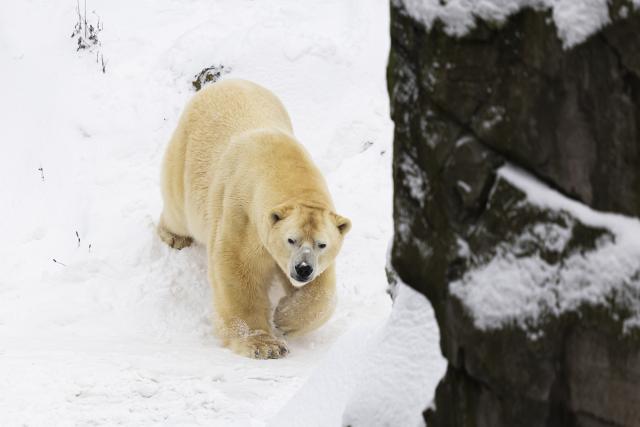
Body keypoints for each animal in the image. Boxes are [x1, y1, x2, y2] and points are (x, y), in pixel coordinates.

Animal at [158, 79, 351, 359]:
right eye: (290, 239)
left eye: (322, 244)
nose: (303, 269)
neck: (280, 165)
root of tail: (223, 83)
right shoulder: (241, 213)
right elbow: (238, 270)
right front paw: (264, 344)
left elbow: (322, 288)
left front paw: (284, 318)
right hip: (185, 159)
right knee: (178, 209)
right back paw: (174, 236)